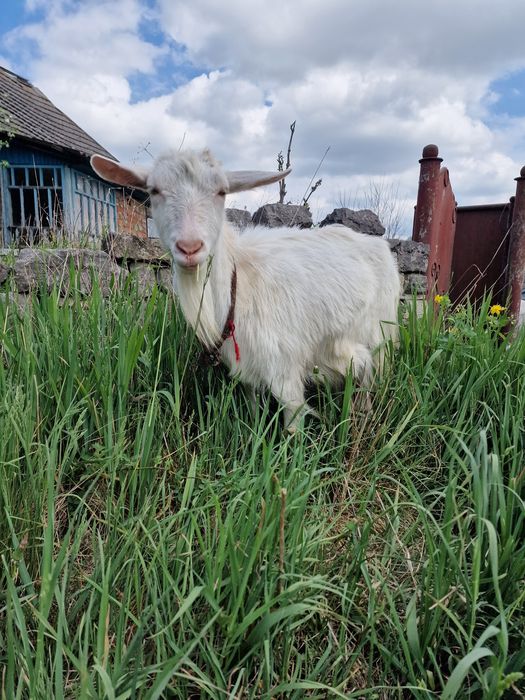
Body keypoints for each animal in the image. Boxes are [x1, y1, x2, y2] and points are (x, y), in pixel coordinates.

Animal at [91, 148, 400, 431]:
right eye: (154, 190)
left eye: (221, 192)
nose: (190, 247)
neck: (238, 285)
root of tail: (377, 244)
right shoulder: (246, 371)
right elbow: (252, 409)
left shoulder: (285, 371)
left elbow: (292, 426)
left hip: (379, 334)